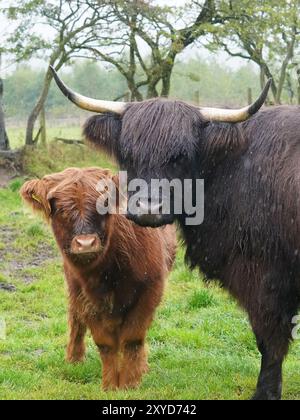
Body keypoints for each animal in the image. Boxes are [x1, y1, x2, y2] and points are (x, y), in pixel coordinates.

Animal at [20, 167, 176, 390]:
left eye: (103, 205)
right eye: (61, 210)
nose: (85, 243)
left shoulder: (149, 290)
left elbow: (133, 339)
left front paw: (130, 383)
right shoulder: (85, 297)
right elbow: (105, 343)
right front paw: (110, 385)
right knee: (75, 317)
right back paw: (74, 358)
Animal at [50, 67, 298, 402]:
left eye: (180, 156)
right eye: (128, 154)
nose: (148, 208)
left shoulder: (263, 275)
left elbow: (269, 339)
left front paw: (265, 393)